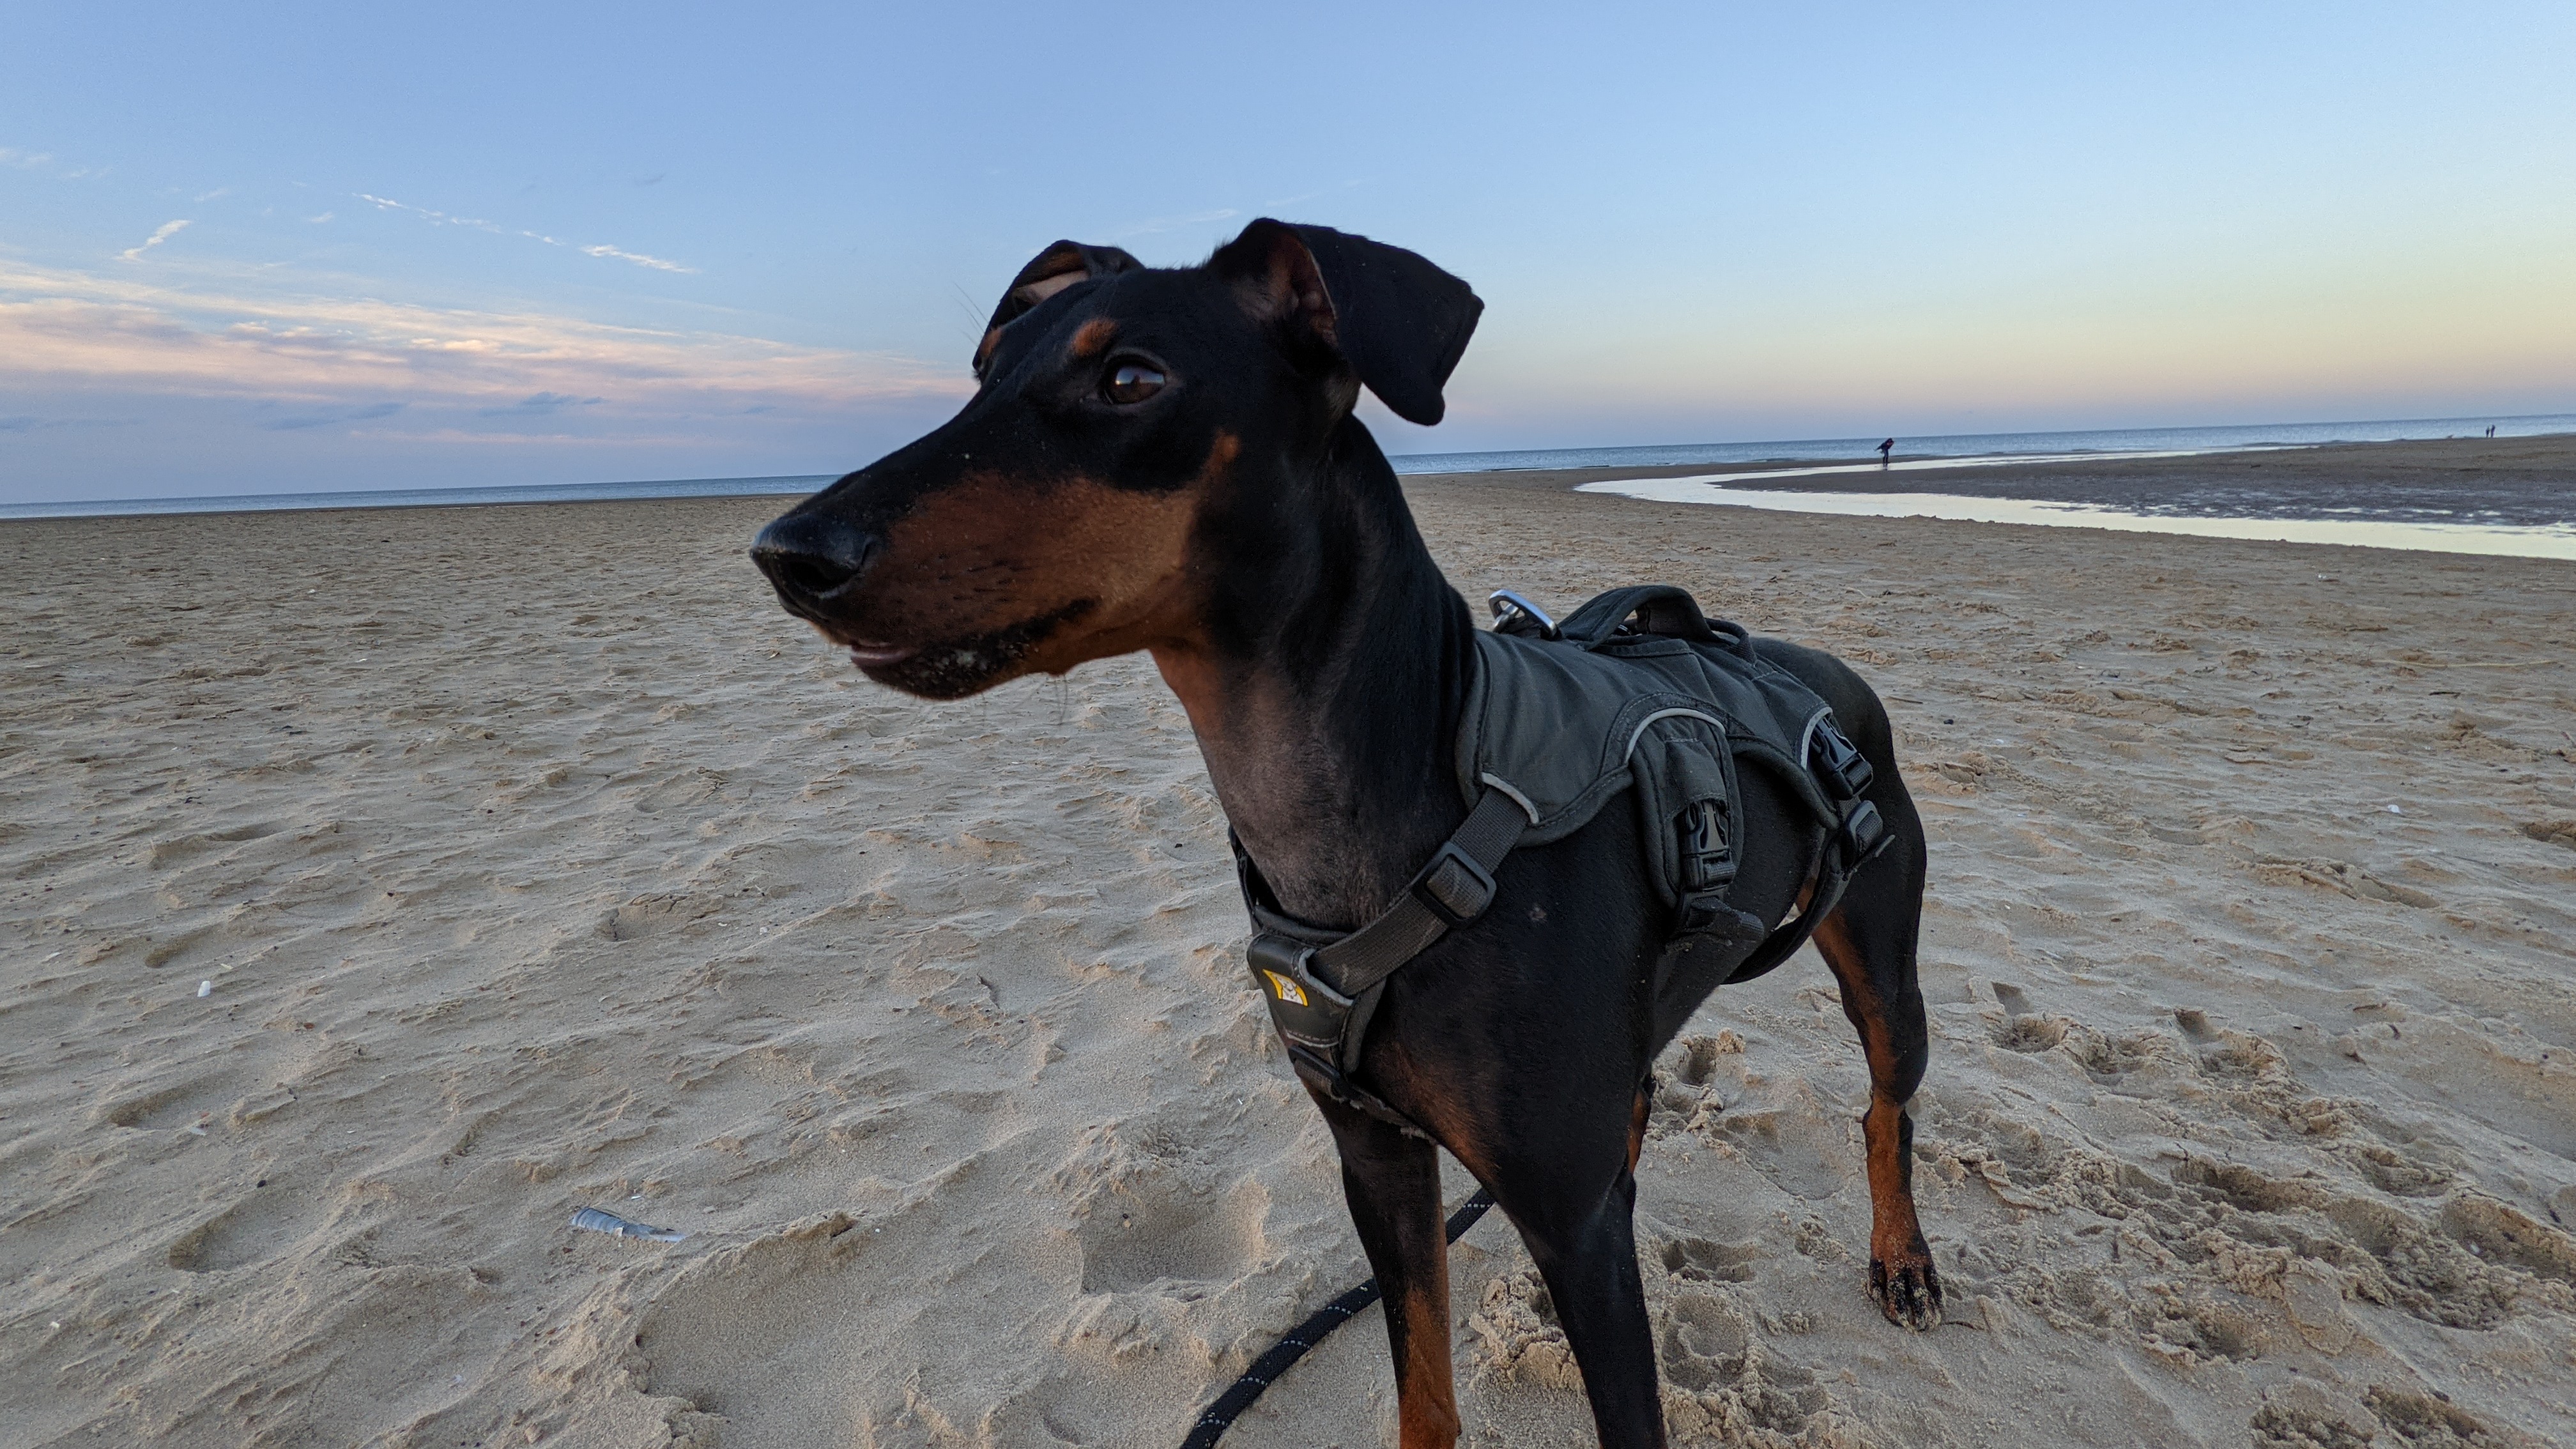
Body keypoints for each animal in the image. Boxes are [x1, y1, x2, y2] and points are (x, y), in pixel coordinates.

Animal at [752, 216, 1937, 1443]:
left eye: (1131, 378)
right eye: (983, 374)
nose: (788, 552)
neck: (1409, 807)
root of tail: (1824, 668)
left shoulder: (1573, 1229)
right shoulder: (1376, 1157)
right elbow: (1423, 1385)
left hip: (1884, 955)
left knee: (1884, 1106)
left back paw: (1901, 1257)